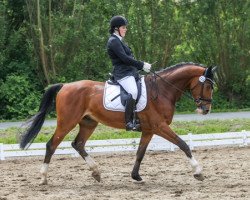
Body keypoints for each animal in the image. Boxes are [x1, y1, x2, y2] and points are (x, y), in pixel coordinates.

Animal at [20, 62, 215, 184]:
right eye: (208, 86)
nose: (206, 109)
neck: (162, 90)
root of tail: (65, 86)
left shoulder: (149, 130)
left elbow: (140, 153)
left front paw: (136, 176)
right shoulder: (160, 126)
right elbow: (183, 144)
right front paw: (198, 171)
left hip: (88, 123)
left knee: (78, 144)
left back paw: (96, 172)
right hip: (67, 122)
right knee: (51, 145)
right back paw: (43, 178)